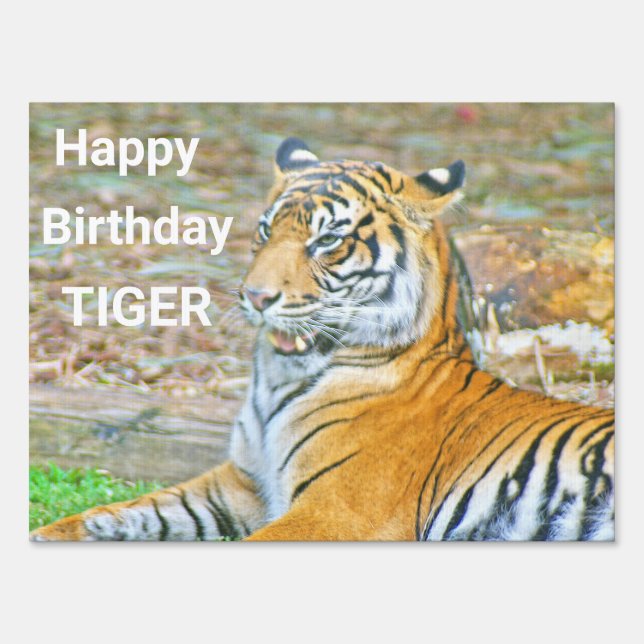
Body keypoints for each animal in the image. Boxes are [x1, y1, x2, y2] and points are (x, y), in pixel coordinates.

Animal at [30, 137, 615, 541]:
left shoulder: (337, 512)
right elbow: (114, 514)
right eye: (266, 231)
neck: (278, 379)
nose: (255, 296)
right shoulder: (239, 485)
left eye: (328, 240)